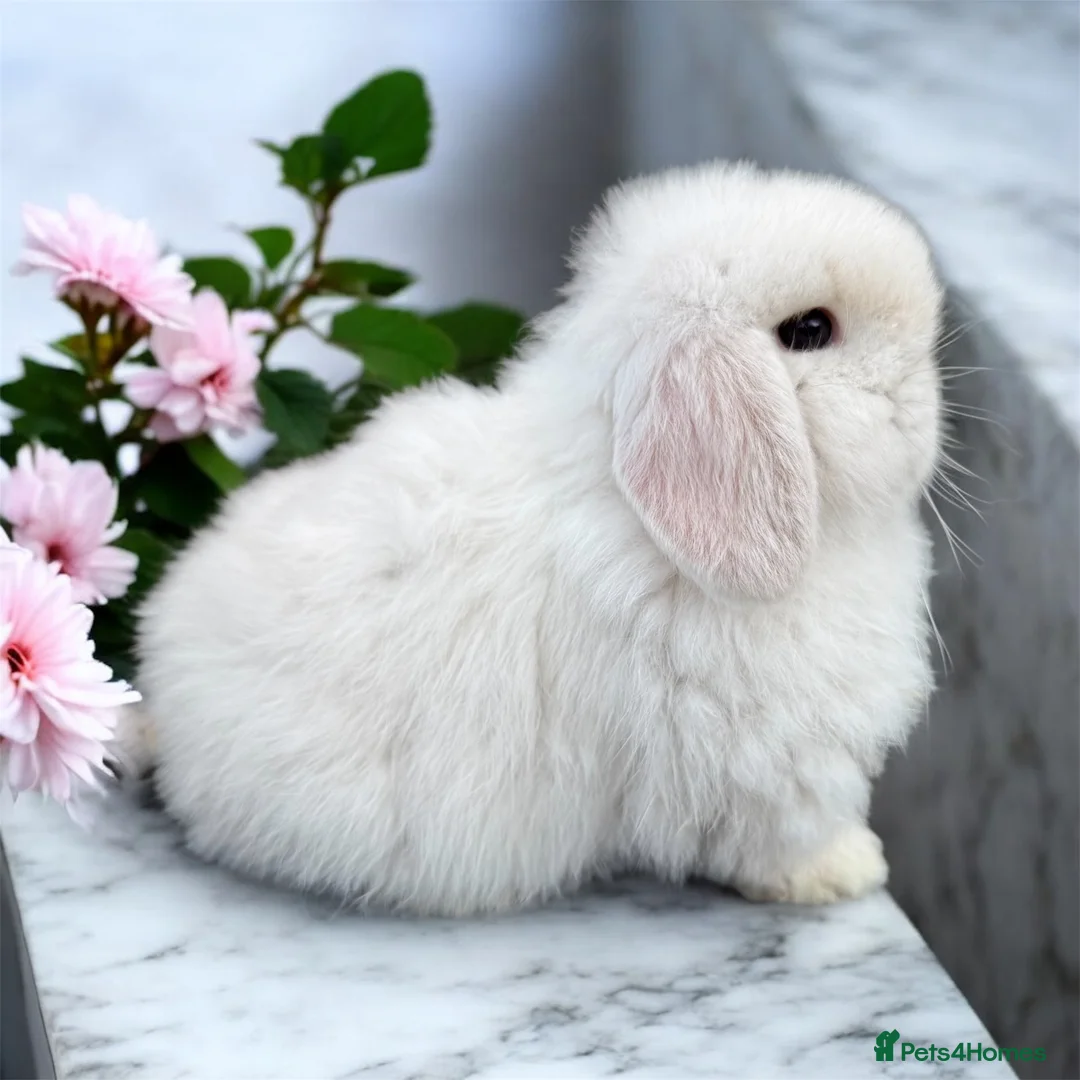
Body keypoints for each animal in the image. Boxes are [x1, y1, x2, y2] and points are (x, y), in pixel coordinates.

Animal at [124, 160, 945, 917]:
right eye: (811, 330)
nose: (929, 398)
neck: (642, 524)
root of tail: (165, 700)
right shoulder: (765, 767)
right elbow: (782, 840)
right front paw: (848, 871)